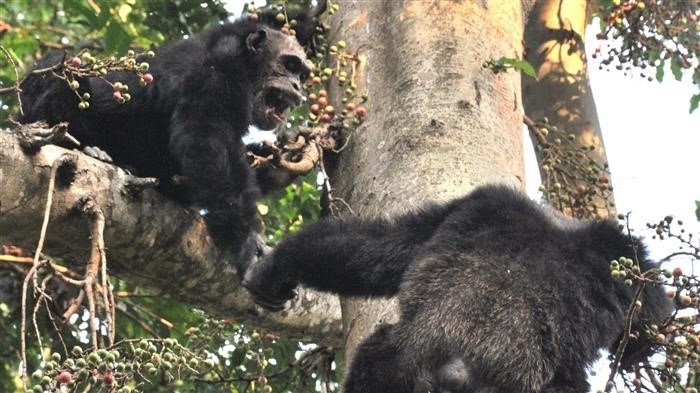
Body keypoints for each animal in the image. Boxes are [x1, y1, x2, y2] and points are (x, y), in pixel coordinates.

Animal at [19, 17, 310, 270]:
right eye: (290, 65)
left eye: (303, 75)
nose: (298, 86)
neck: (250, 68)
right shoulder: (220, 68)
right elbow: (208, 140)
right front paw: (245, 240)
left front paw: (282, 162)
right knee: (61, 70)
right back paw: (86, 148)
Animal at [242, 184, 672, 392]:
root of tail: (454, 371)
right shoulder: (627, 256)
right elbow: (649, 322)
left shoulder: (474, 203)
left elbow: (376, 248)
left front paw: (276, 268)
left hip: (386, 369)